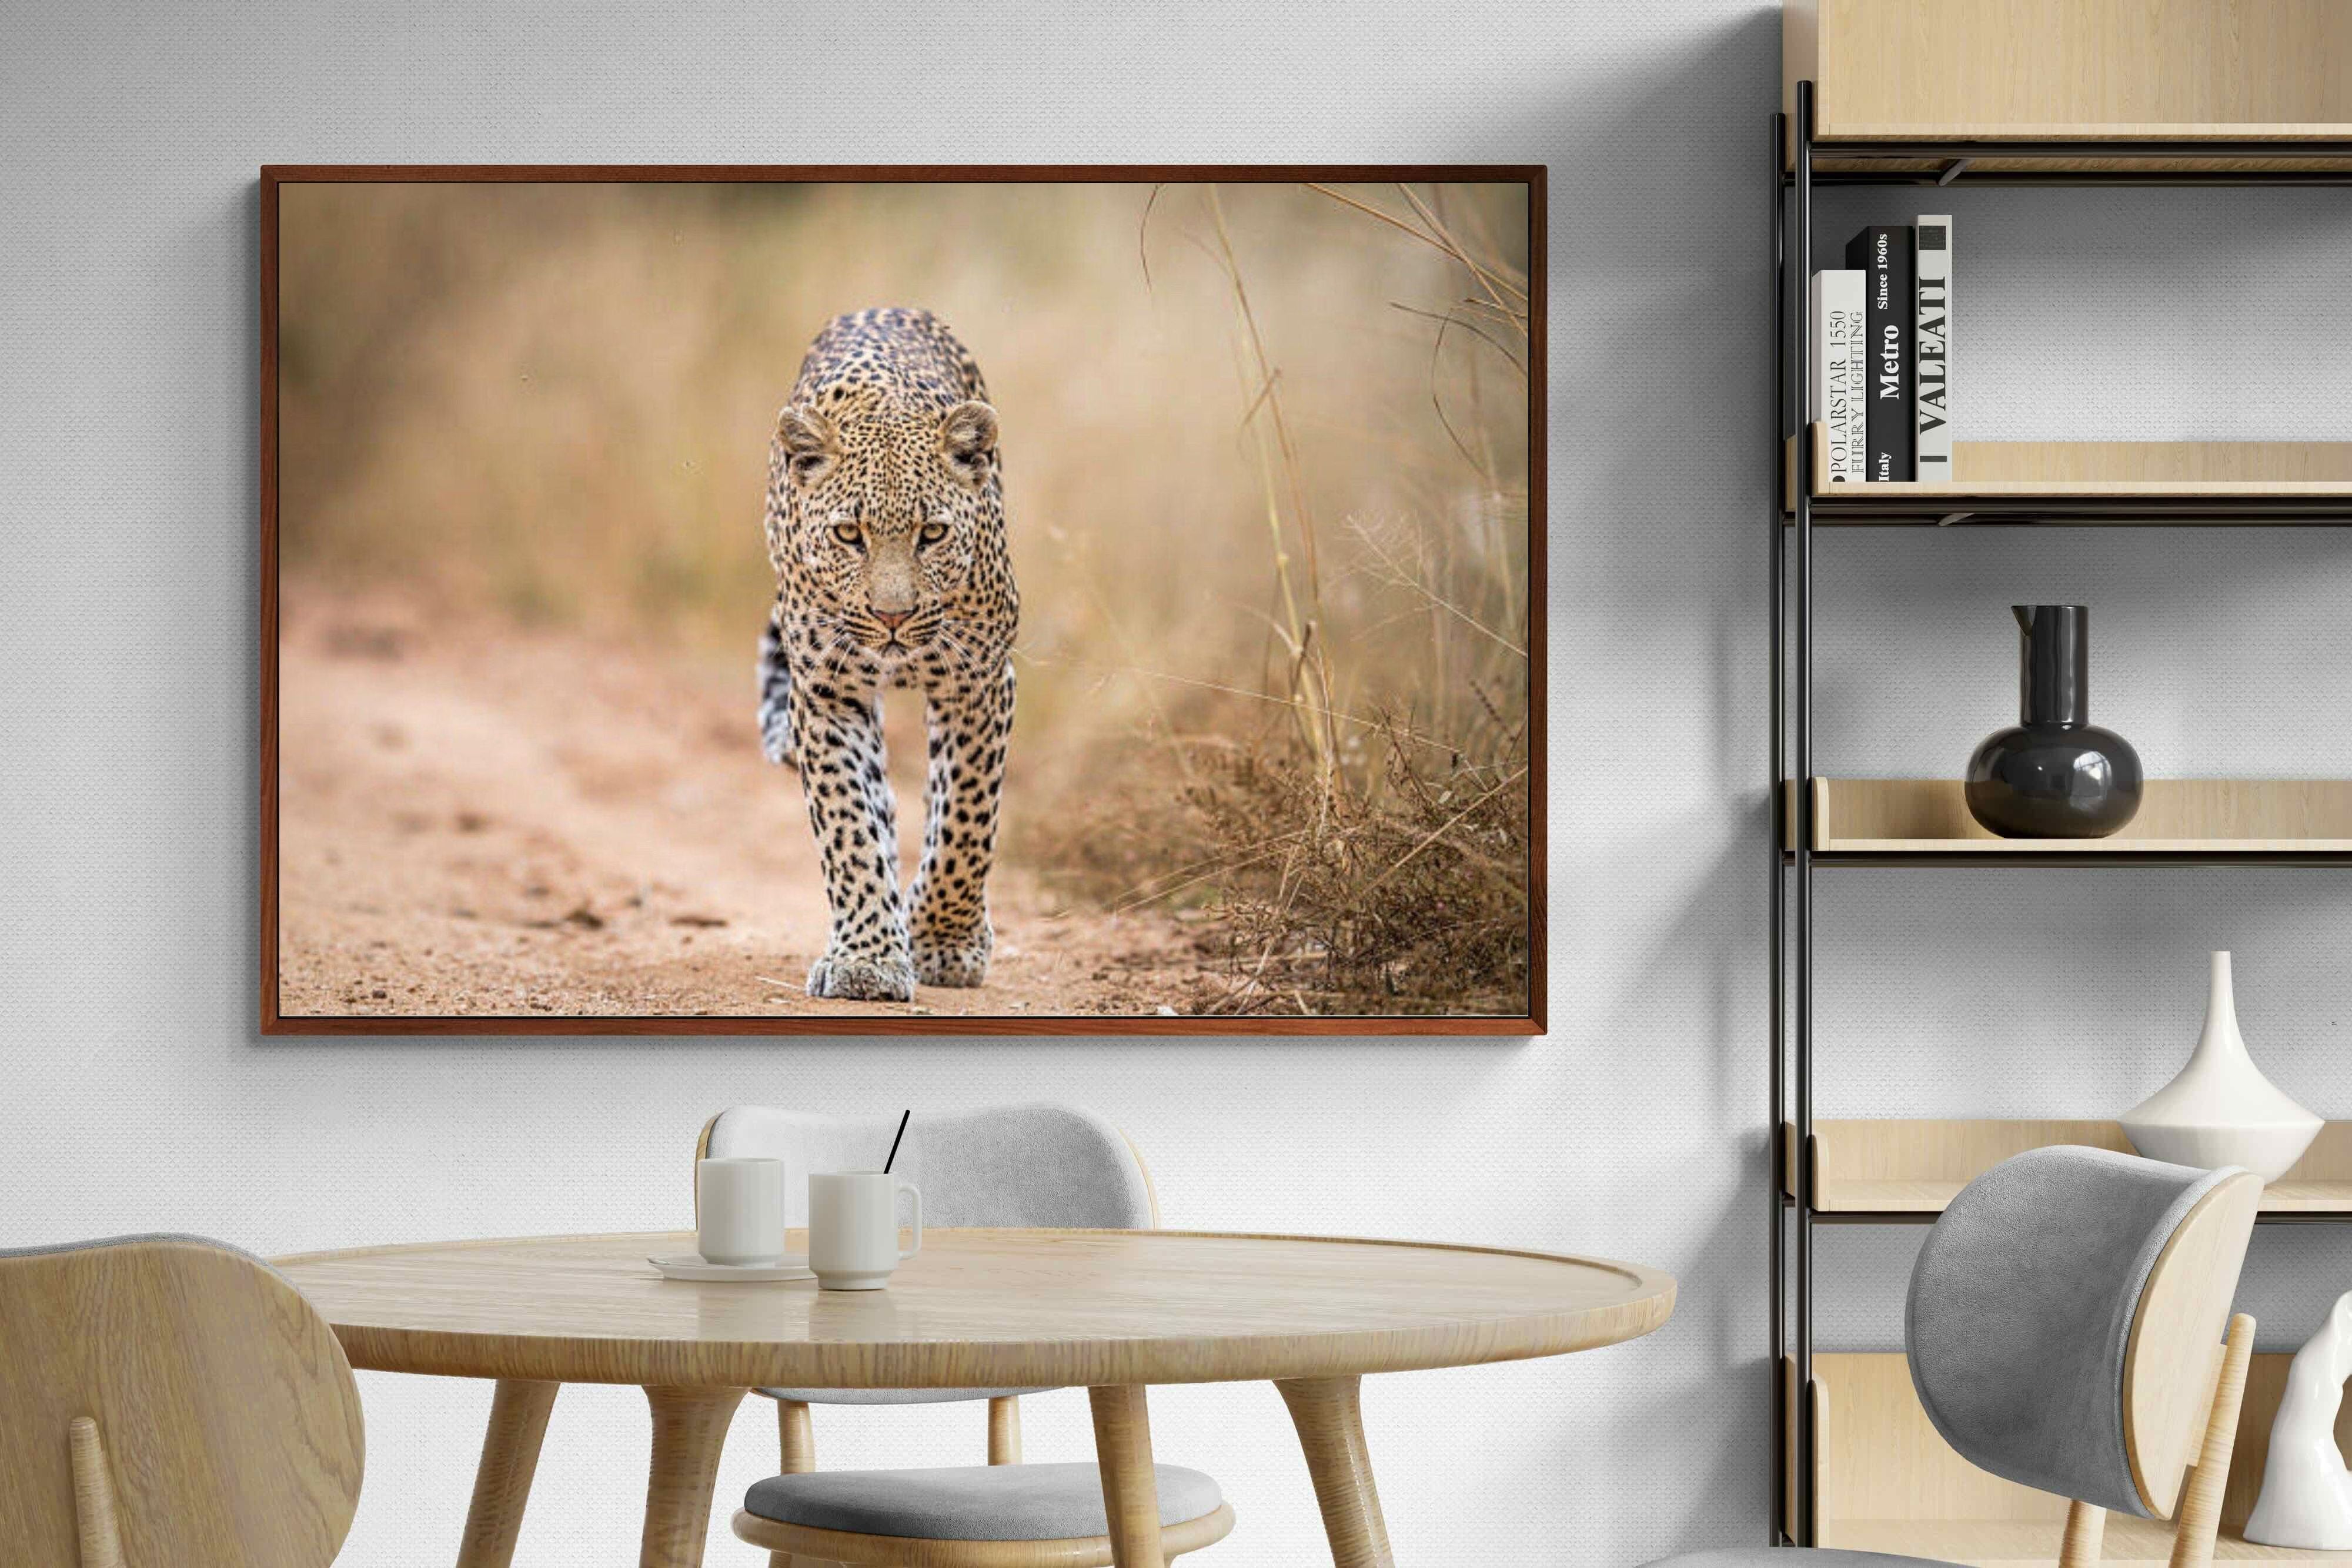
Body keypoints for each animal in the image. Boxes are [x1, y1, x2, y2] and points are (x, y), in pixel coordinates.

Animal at [756, 307, 1018, 1002]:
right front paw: (867, 959)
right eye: (850, 534)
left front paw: (945, 941)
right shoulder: (826, 692)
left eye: (933, 533)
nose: (892, 616)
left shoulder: (979, 681)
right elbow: (848, 824)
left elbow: (966, 819)